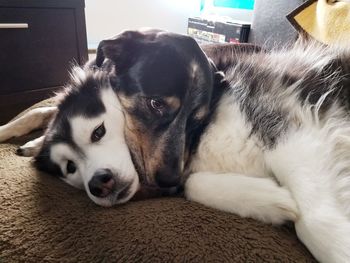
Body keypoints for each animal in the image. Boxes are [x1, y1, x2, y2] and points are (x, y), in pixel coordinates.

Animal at [2, 28, 350, 262]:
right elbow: (42, 110)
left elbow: (316, 219)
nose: (168, 179)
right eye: (155, 104)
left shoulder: (293, 119)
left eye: (198, 118)